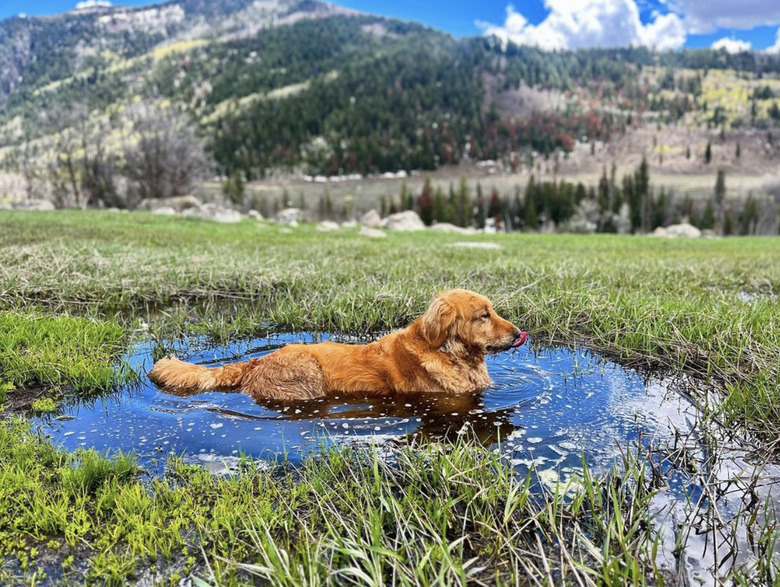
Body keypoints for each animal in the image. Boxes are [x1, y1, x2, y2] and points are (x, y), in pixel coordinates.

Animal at [149, 290, 528, 402]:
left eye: (493, 310)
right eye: (483, 315)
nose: (518, 333)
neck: (447, 351)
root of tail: (257, 362)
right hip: (307, 376)